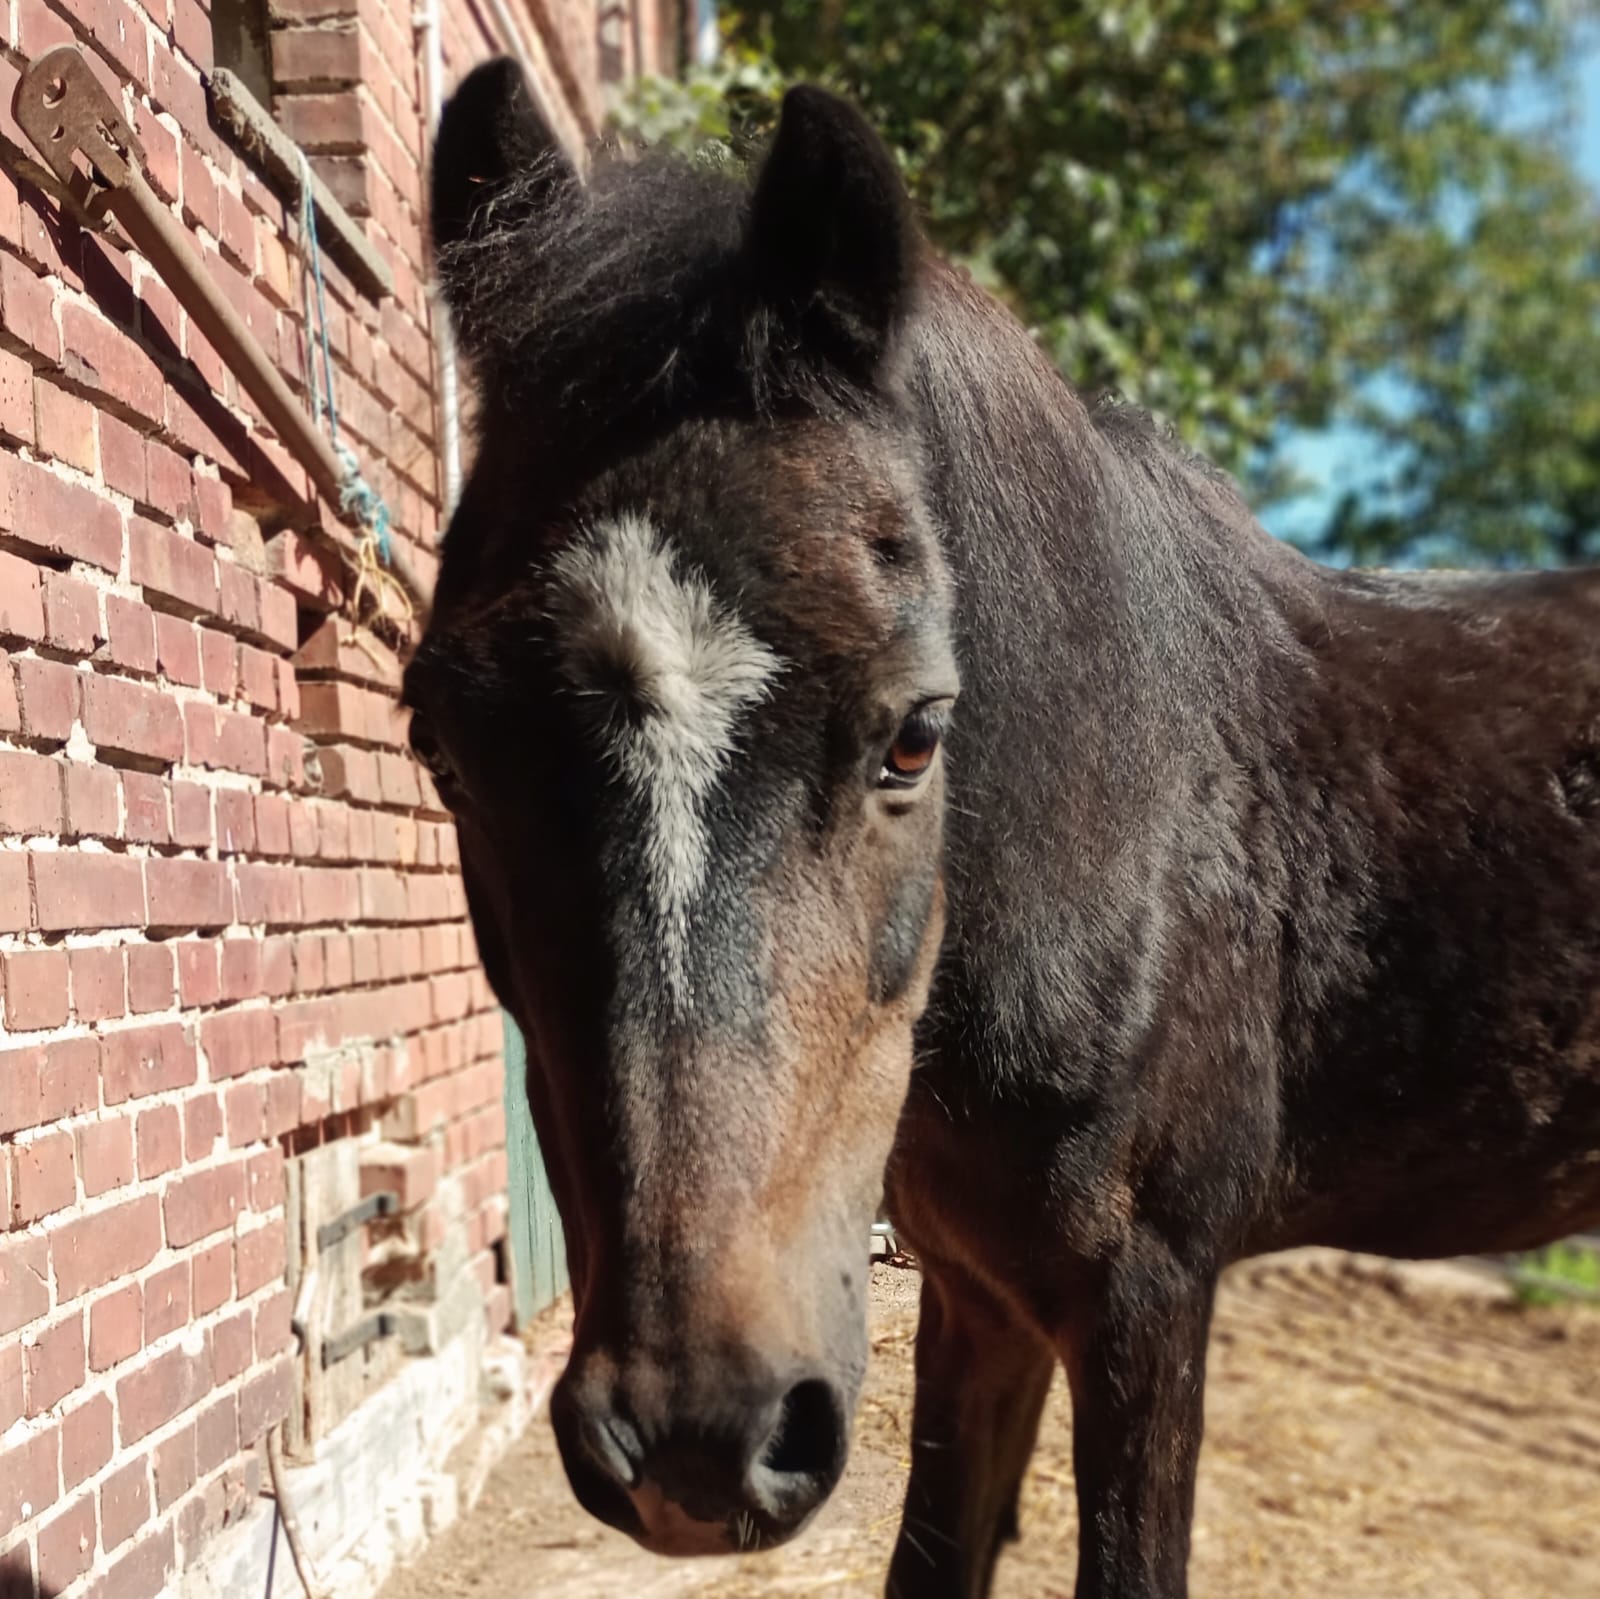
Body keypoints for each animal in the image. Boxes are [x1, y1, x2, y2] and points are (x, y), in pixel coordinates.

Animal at [407, 58, 1600, 1598]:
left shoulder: (1148, 1292)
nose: (694, 1444)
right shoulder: (979, 1288)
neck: (1119, 838)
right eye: (443, 748)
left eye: (917, 730)